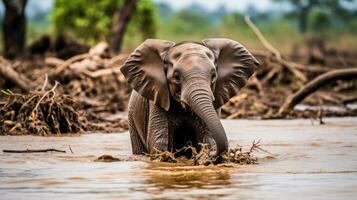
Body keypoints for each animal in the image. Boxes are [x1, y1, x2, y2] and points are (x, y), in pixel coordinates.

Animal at [120, 38, 258, 159]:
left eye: (214, 76)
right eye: (176, 77)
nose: (213, 155)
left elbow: (209, 137)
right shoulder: (157, 97)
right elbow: (158, 140)